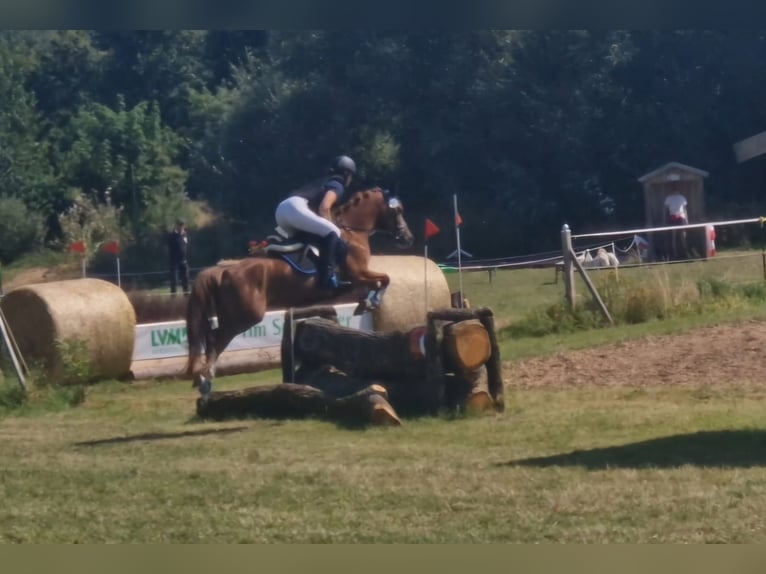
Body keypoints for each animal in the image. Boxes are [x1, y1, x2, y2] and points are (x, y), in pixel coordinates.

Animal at [186, 189, 414, 396]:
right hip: (245, 316)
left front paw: (365, 304)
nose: (407, 237)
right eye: (398, 210)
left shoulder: (356, 280)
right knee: (216, 338)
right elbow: (385, 279)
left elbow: (380, 281)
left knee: (210, 337)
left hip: (231, 314)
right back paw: (204, 380)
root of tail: (223, 270)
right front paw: (371, 302)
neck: (353, 233)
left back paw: (204, 378)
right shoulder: (358, 274)